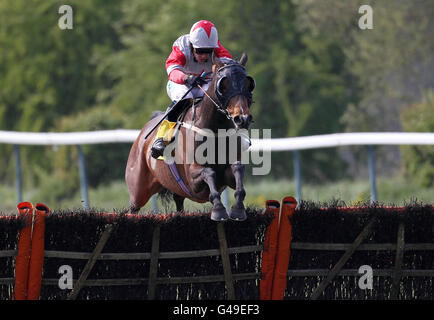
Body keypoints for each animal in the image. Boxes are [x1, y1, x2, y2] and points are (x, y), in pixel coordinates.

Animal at [124, 53, 254, 222]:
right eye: (223, 85)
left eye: (248, 84)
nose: (242, 118)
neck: (214, 131)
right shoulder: (193, 180)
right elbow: (208, 172)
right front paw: (219, 209)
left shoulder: (227, 175)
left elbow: (238, 168)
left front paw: (238, 208)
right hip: (138, 191)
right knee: (133, 208)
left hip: (175, 189)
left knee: (179, 202)